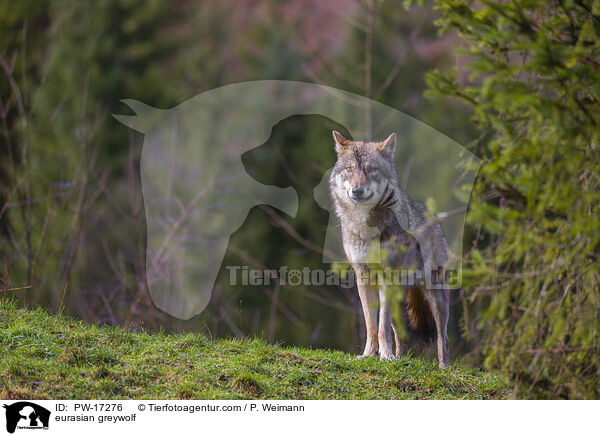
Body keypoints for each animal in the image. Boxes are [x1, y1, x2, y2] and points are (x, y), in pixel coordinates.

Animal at [328, 130, 450, 368]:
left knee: (443, 337)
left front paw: (384, 356)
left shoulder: (387, 277)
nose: (357, 191)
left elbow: (381, 325)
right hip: (400, 303)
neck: (366, 225)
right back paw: (399, 358)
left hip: (436, 298)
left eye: (372, 169)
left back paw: (444, 366)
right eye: (350, 169)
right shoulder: (363, 277)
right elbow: (372, 324)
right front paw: (369, 354)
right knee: (401, 337)